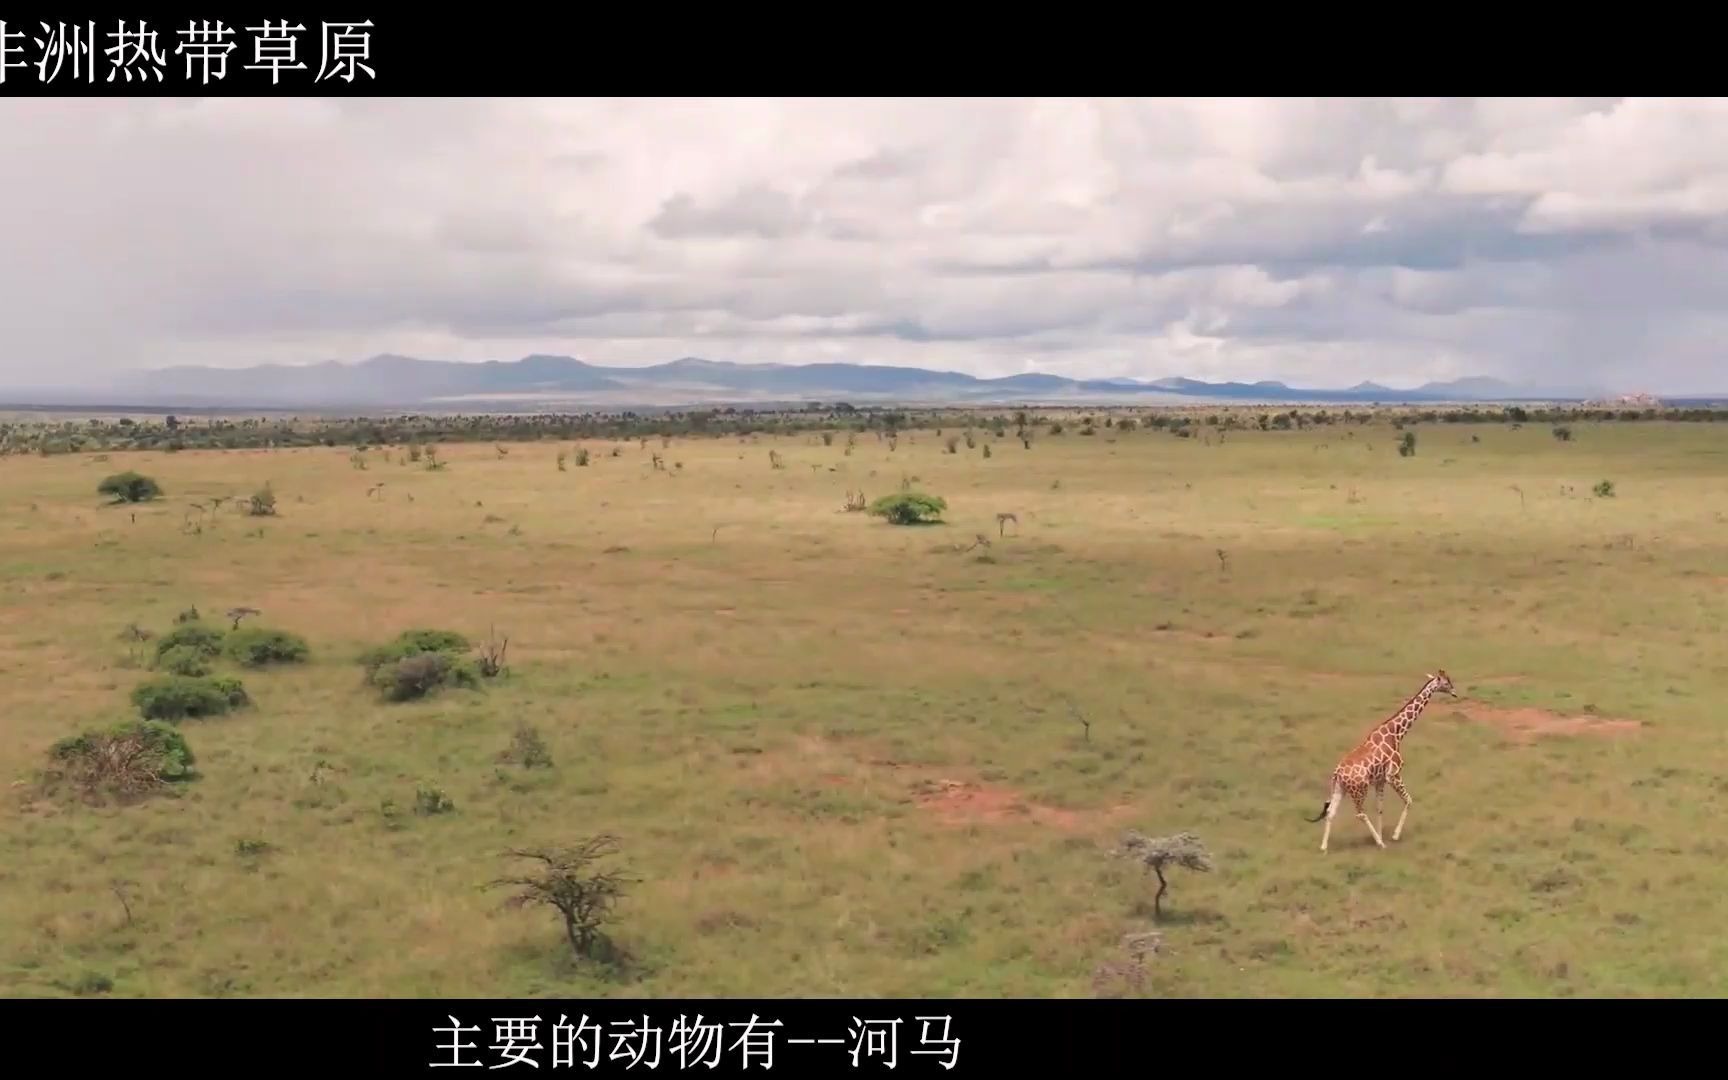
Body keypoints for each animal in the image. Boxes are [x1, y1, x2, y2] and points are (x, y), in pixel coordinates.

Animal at [1306, 667, 1458, 850]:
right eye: (1446, 682)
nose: (1455, 692)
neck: (1397, 733)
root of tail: (1337, 773)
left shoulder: (1380, 780)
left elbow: (1380, 808)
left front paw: (1381, 835)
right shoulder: (1393, 775)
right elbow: (1409, 800)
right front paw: (1393, 836)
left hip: (1340, 789)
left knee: (1331, 812)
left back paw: (1324, 847)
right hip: (1359, 789)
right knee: (1360, 814)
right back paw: (1380, 843)